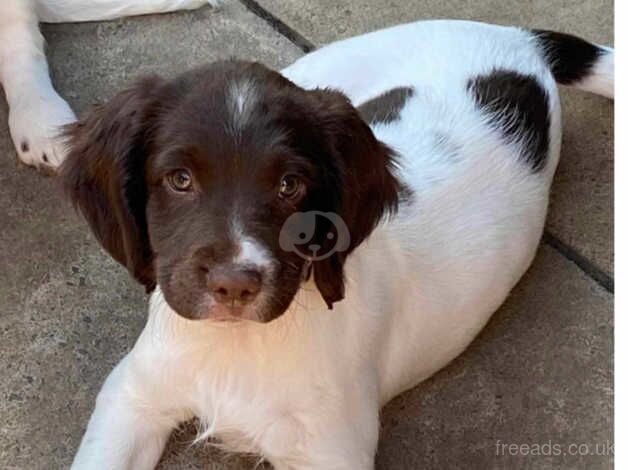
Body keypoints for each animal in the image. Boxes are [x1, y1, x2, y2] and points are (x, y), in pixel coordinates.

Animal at [60, 19, 612, 470]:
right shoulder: (132, 395)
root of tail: (517, 39)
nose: (233, 285)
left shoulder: (330, 452)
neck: (235, 348)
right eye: (179, 179)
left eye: (290, 185)